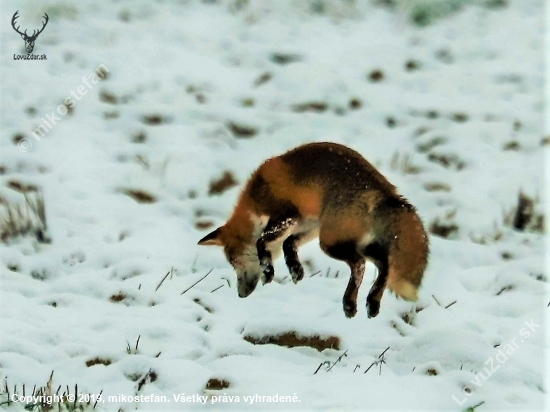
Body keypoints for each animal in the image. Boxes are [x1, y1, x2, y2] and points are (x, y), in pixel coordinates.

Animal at [198, 142, 432, 318]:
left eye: (234, 262)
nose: (241, 294)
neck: (253, 203)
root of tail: (386, 192)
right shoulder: (309, 225)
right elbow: (288, 244)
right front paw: (295, 269)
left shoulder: (287, 216)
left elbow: (261, 241)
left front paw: (268, 271)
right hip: (353, 241)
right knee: (385, 265)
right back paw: (371, 302)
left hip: (330, 242)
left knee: (360, 265)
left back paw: (350, 302)